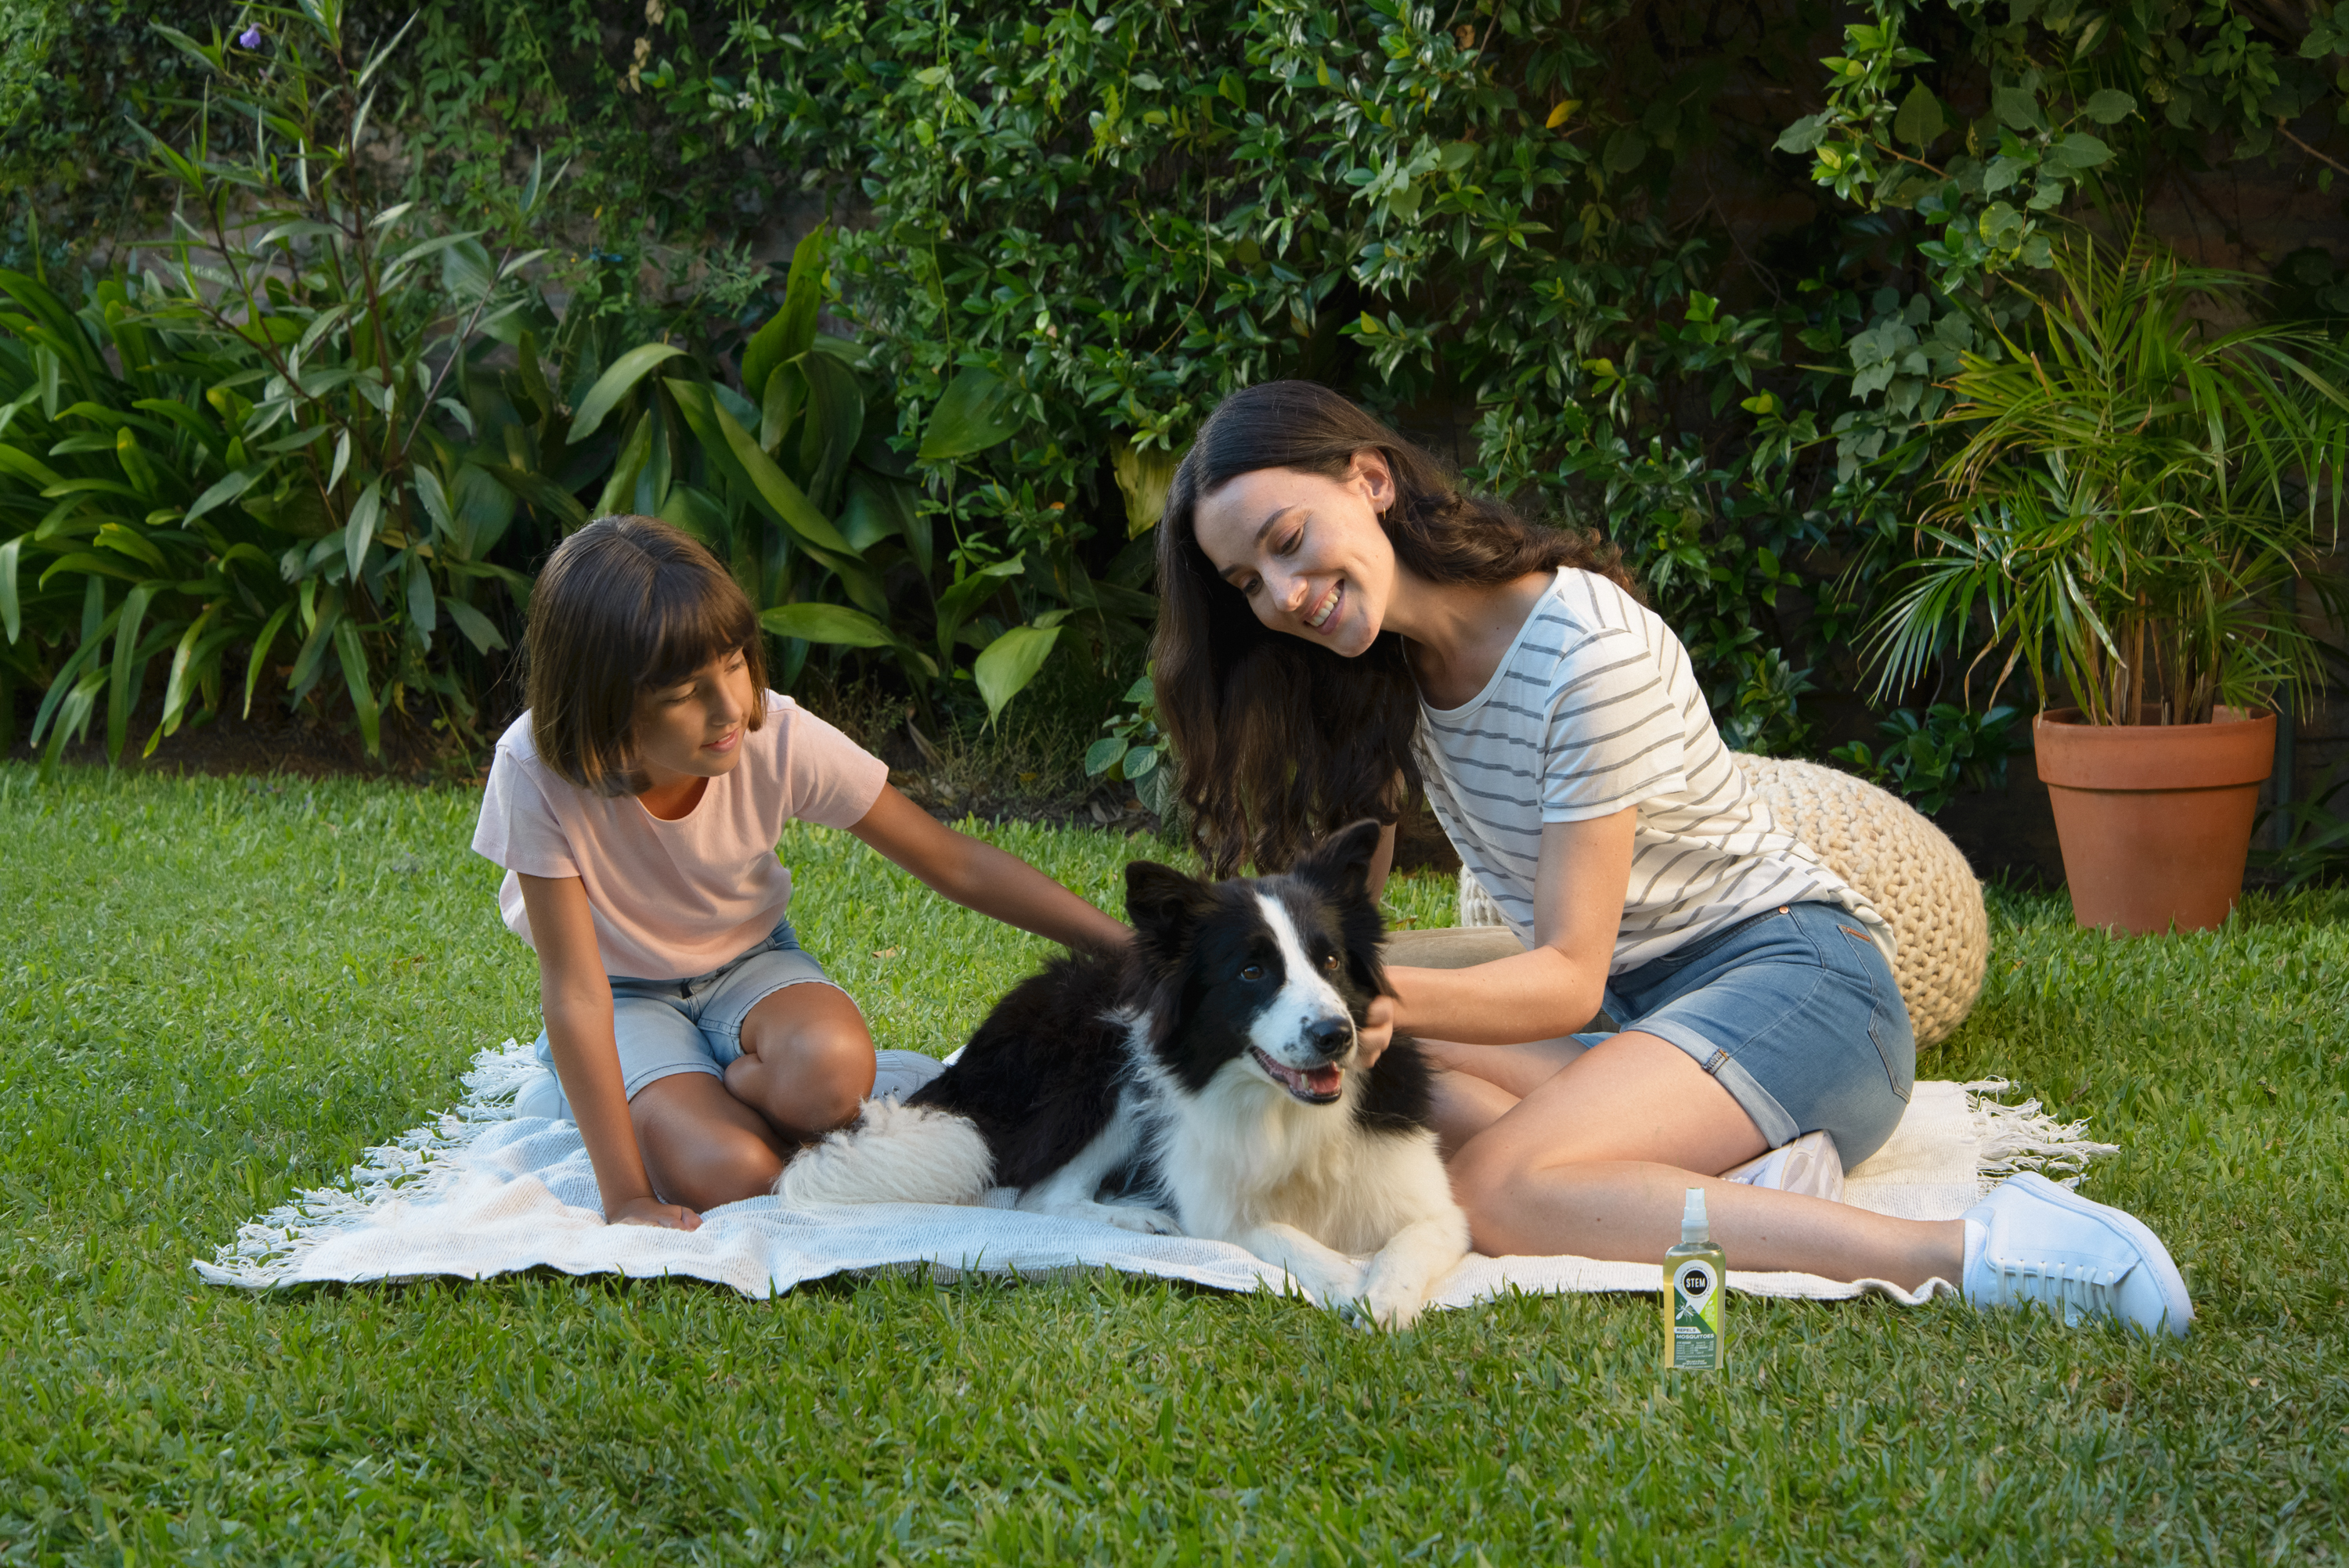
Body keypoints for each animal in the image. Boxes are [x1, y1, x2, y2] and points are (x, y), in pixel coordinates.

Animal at [770, 821, 1466, 1324]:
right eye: (1251, 971)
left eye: (1331, 961)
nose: (1335, 1035)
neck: (1283, 1111)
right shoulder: (1219, 1208)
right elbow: (1281, 1235)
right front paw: (1349, 1280)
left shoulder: (1432, 1204)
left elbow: (1416, 1240)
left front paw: (1384, 1297)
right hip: (1108, 1060)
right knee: (1042, 1194)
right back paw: (1138, 1218)